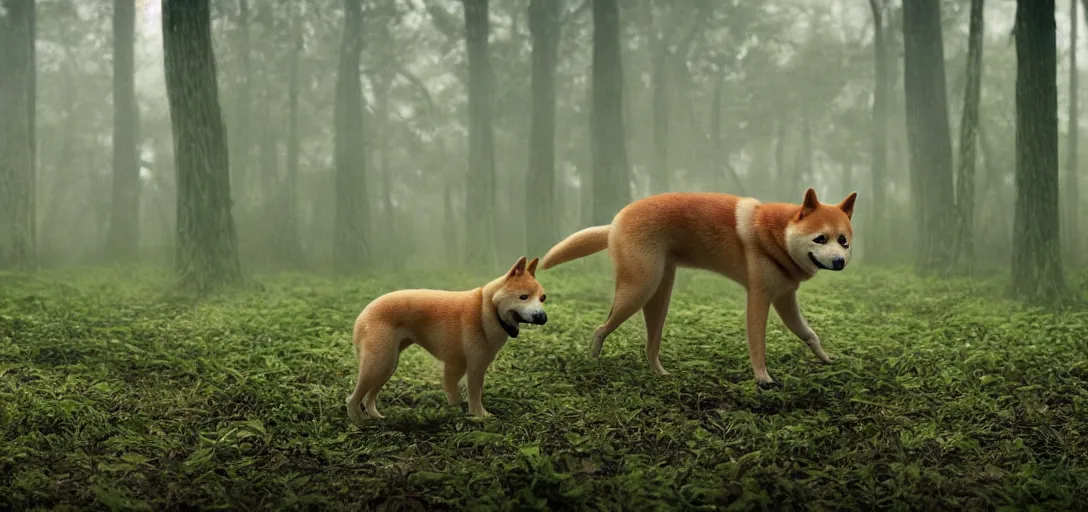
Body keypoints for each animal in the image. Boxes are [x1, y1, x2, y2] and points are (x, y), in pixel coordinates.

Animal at [348, 256, 548, 423]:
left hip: (387, 366)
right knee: (353, 399)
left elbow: (454, 393)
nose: (543, 317)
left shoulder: (455, 366)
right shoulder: (475, 366)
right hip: (379, 363)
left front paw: (457, 412)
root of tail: (363, 313)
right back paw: (359, 423)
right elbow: (475, 394)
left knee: (369, 398)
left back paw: (376, 416)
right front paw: (480, 416)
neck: (488, 308)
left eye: (543, 298)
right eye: (523, 297)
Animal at [539, 186, 852, 384]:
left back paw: (660, 375)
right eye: (820, 239)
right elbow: (757, 343)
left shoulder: (784, 299)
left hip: (660, 295)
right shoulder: (760, 298)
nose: (839, 262)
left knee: (650, 346)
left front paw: (826, 359)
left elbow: (809, 334)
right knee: (600, 328)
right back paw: (593, 361)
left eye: (844, 241)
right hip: (639, 290)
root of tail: (615, 221)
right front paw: (763, 380)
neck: (777, 236)